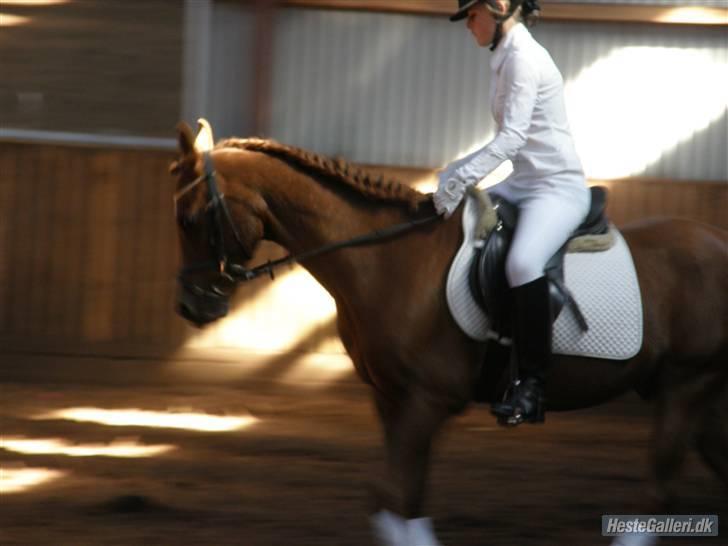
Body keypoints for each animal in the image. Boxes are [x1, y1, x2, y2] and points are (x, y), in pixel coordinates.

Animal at [169, 120, 728, 544]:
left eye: (192, 217)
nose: (192, 306)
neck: (387, 258)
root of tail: (715, 241)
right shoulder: (391, 399)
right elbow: (399, 502)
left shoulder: (427, 400)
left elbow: (395, 497)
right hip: (696, 395)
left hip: (688, 381)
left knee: (657, 494)